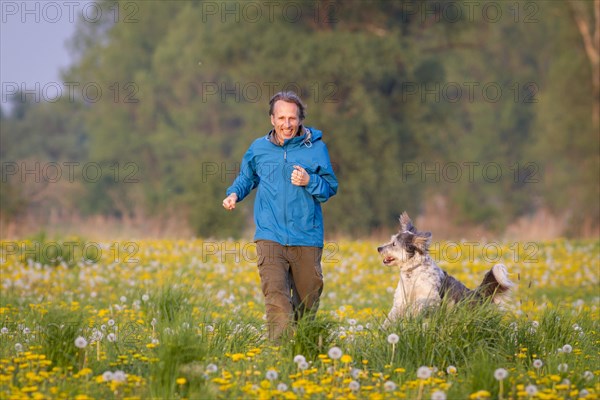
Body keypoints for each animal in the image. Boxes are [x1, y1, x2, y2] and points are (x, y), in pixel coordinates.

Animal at [380, 211, 510, 326]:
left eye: (394, 244)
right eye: (391, 241)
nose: (379, 248)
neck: (412, 272)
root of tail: (476, 294)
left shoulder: (430, 297)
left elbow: (419, 304)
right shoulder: (401, 300)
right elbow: (391, 316)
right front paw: (384, 328)